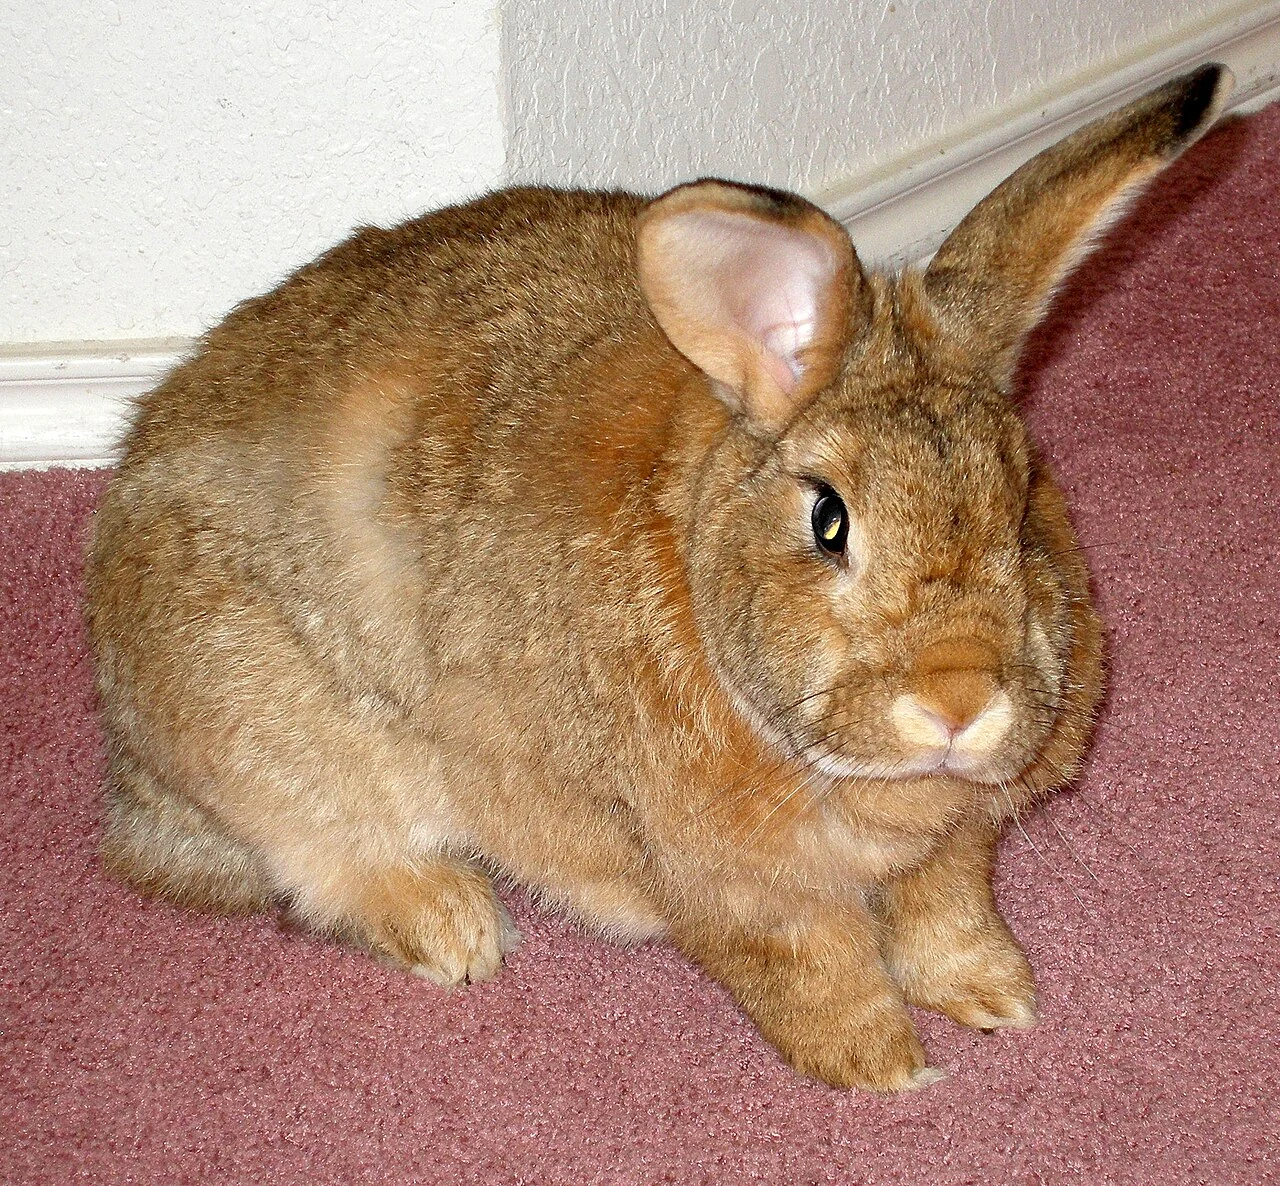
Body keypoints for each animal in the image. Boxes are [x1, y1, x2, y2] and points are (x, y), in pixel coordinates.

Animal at [85, 64, 1231, 1091]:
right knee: (325, 859)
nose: (957, 699)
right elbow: (813, 973)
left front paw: (997, 998)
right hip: (275, 739)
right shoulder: (732, 888)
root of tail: (137, 780)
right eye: (827, 519)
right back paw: (457, 928)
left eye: (1023, 497)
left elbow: (945, 913)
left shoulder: (953, 849)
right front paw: (887, 1070)